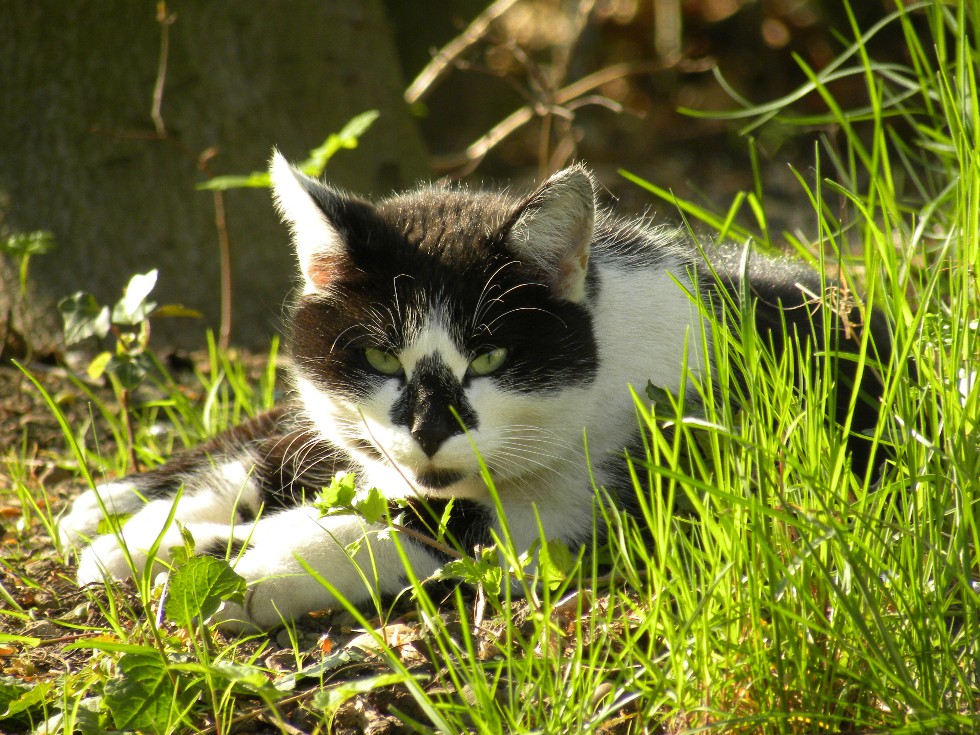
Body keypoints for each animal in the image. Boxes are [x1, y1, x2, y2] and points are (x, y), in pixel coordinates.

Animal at [57, 152, 892, 628]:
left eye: (489, 356)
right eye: (379, 355)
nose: (430, 429)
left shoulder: (593, 496)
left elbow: (415, 524)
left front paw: (234, 567)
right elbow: (297, 458)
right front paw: (145, 536)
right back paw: (108, 503)